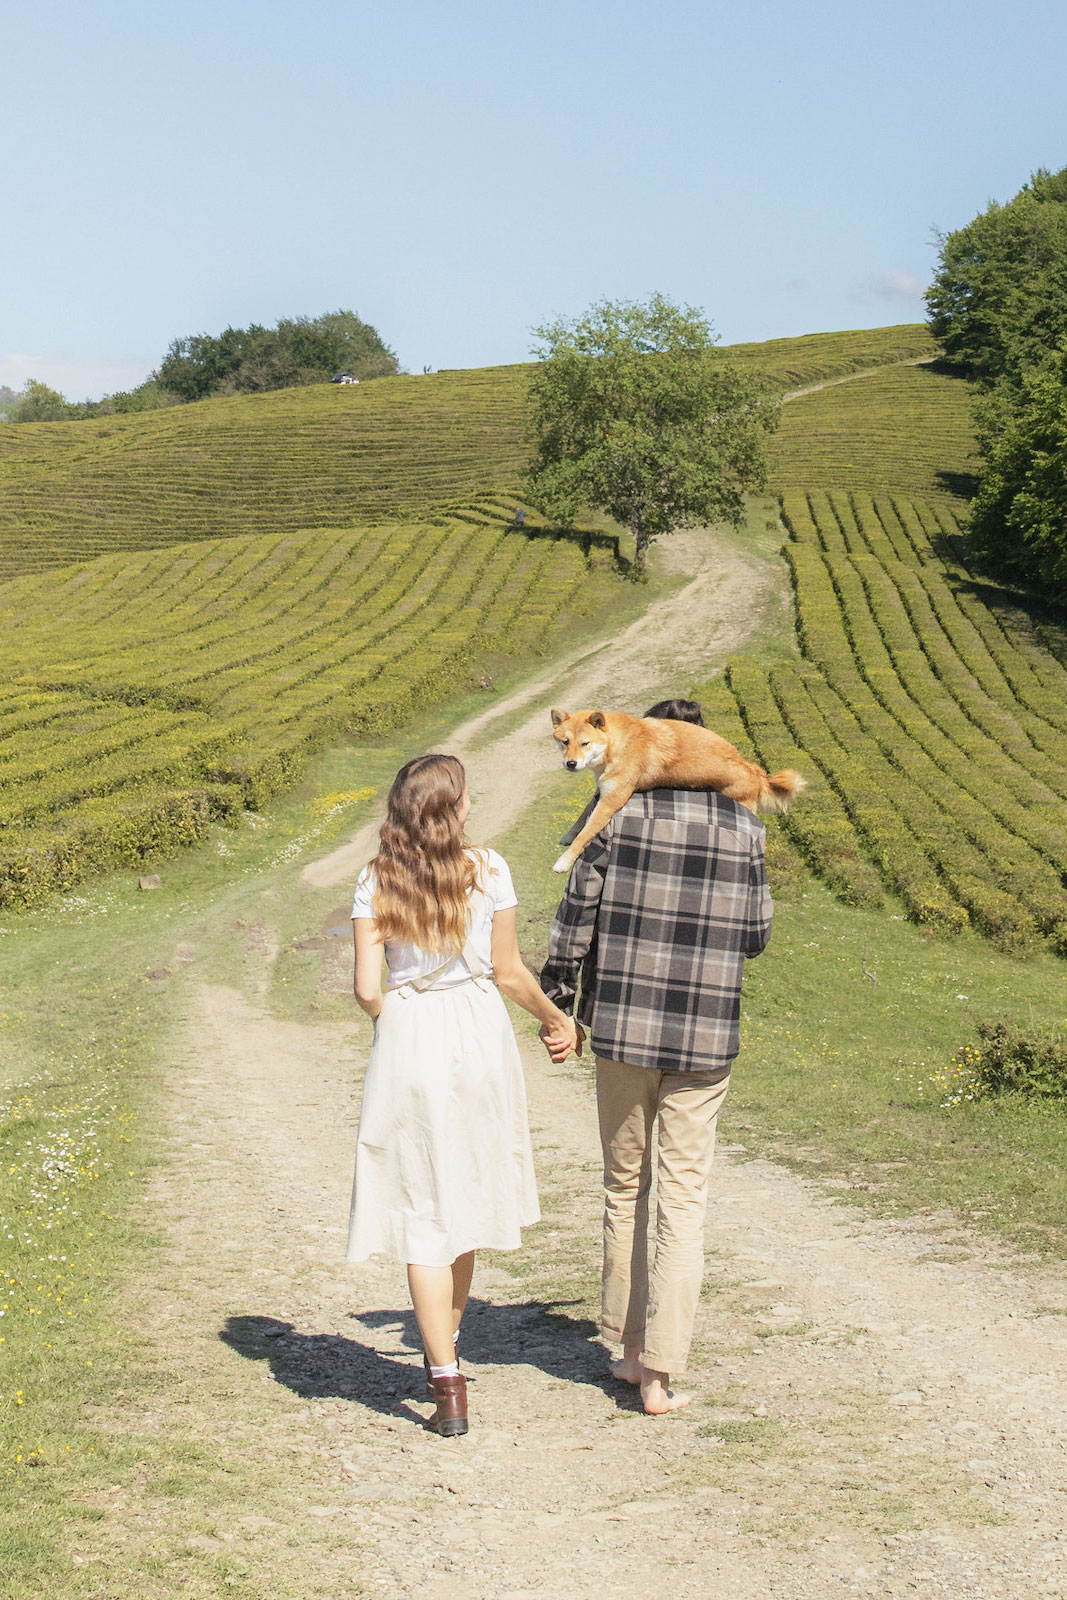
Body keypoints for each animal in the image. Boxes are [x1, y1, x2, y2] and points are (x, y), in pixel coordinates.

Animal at [556, 707, 806, 870]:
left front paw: (564, 861)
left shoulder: (612, 800)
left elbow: (587, 832)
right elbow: (583, 816)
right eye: (565, 742)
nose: (570, 763)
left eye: (585, 744)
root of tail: (756, 772)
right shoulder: (603, 790)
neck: (616, 745)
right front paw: (569, 834)